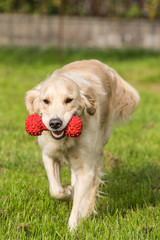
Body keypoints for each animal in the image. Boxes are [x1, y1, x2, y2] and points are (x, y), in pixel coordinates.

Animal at [25, 59, 140, 230]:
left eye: (68, 100)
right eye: (46, 101)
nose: (55, 123)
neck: (65, 140)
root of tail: (100, 63)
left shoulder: (86, 167)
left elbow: (80, 200)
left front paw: (73, 228)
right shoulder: (49, 155)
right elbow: (56, 190)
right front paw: (67, 191)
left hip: (100, 143)